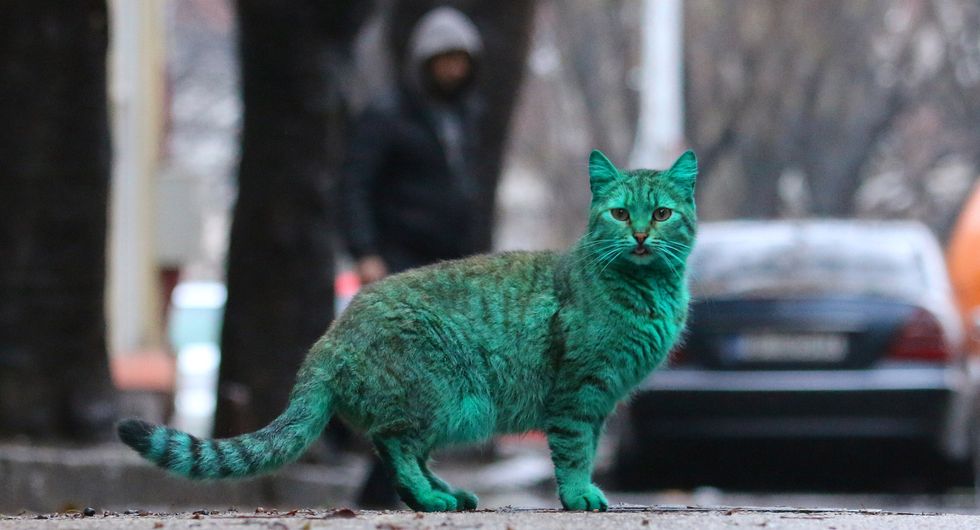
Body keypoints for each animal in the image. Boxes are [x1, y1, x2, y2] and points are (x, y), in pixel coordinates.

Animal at [117, 146, 696, 510]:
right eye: (620, 214)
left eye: (662, 213)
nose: (640, 235)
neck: (647, 289)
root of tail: (329, 337)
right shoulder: (579, 393)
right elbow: (575, 453)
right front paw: (579, 497)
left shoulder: (601, 402)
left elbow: (589, 450)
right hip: (436, 394)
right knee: (396, 447)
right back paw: (435, 497)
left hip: (446, 407)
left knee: (403, 451)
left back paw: (446, 494)